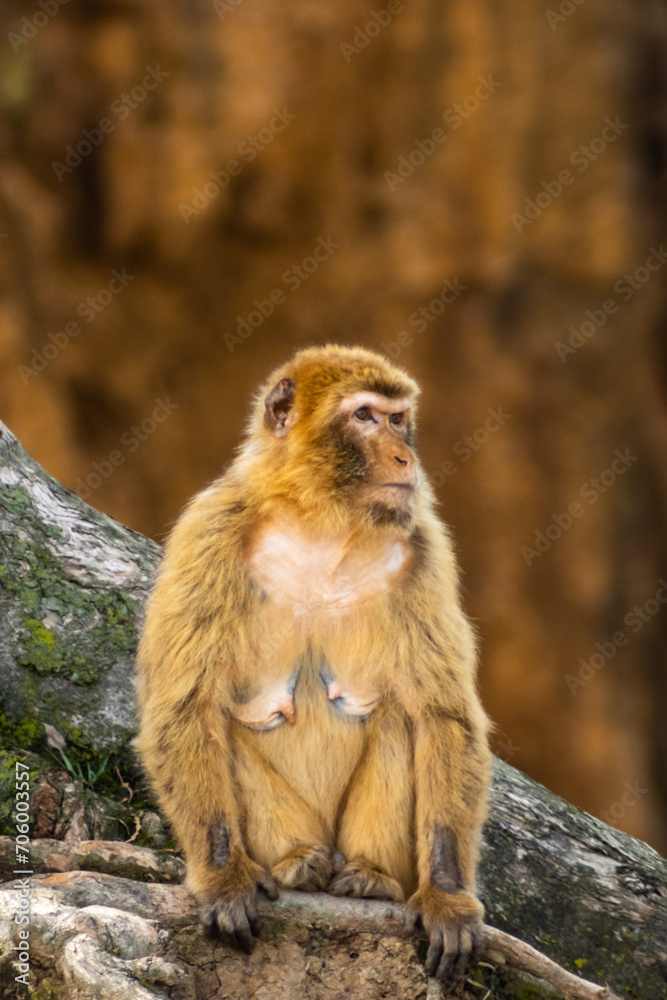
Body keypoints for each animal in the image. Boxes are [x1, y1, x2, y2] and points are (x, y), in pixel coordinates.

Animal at [135, 344, 491, 987]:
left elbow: (441, 716)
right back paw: (297, 864)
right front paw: (222, 880)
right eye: (365, 417)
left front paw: (448, 897)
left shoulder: (424, 548)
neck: (321, 522)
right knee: (223, 725)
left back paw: (370, 877)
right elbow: (186, 708)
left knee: (400, 718)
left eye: (399, 419)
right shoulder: (210, 529)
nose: (405, 456)